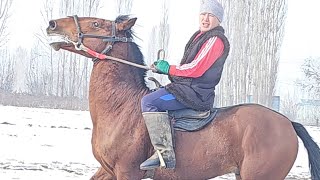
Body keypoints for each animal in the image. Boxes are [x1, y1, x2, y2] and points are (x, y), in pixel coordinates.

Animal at [47, 15, 320, 180]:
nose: (53, 24)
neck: (120, 107)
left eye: (96, 24)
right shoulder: (108, 171)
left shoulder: (127, 172)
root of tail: (288, 122)